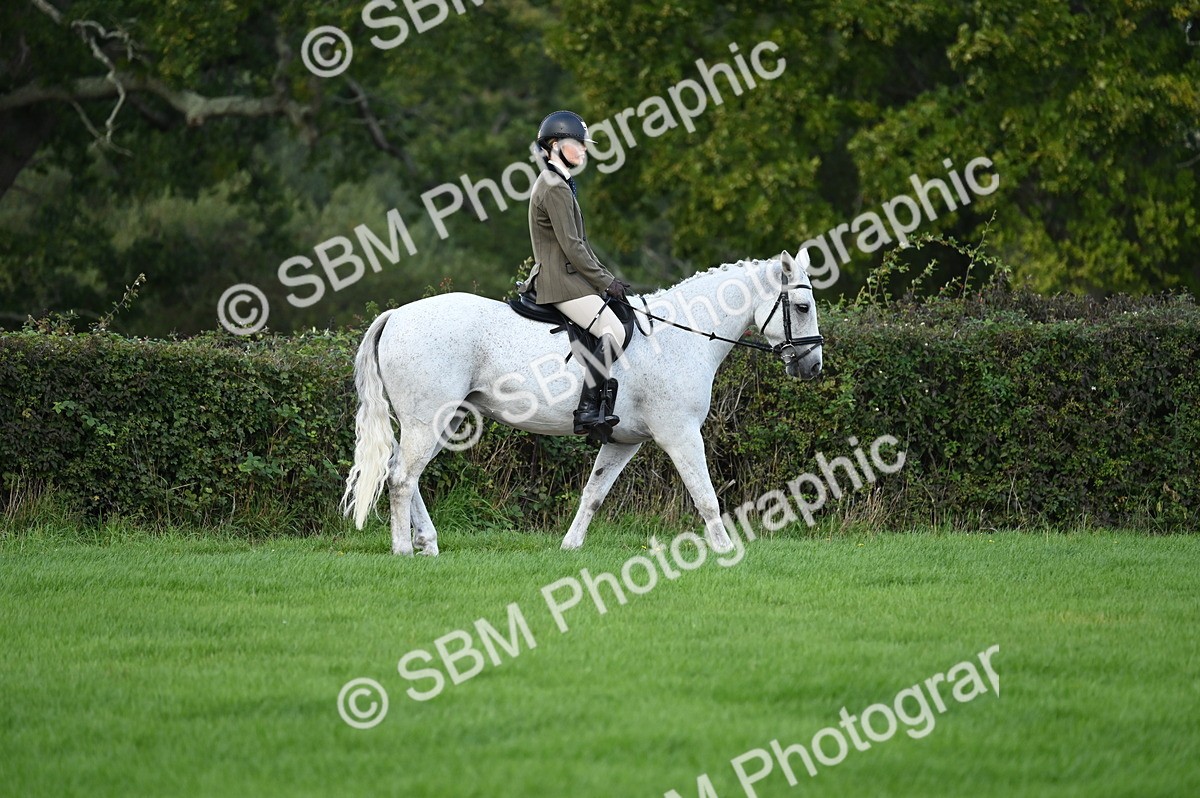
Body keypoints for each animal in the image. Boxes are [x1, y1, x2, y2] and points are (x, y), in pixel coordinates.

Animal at [341, 248, 824, 555]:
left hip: (439, 421)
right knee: (402, 478)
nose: (813, 365)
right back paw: (405, 548)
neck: (679, 334)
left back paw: (427, 543)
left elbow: (593, 493)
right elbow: (705, 495)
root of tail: (397, 315)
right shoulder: (681, 434)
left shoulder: (624, 441)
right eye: (802, 307)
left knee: (402, 473)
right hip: (429, 420)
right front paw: (725, 551)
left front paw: (569, 546)